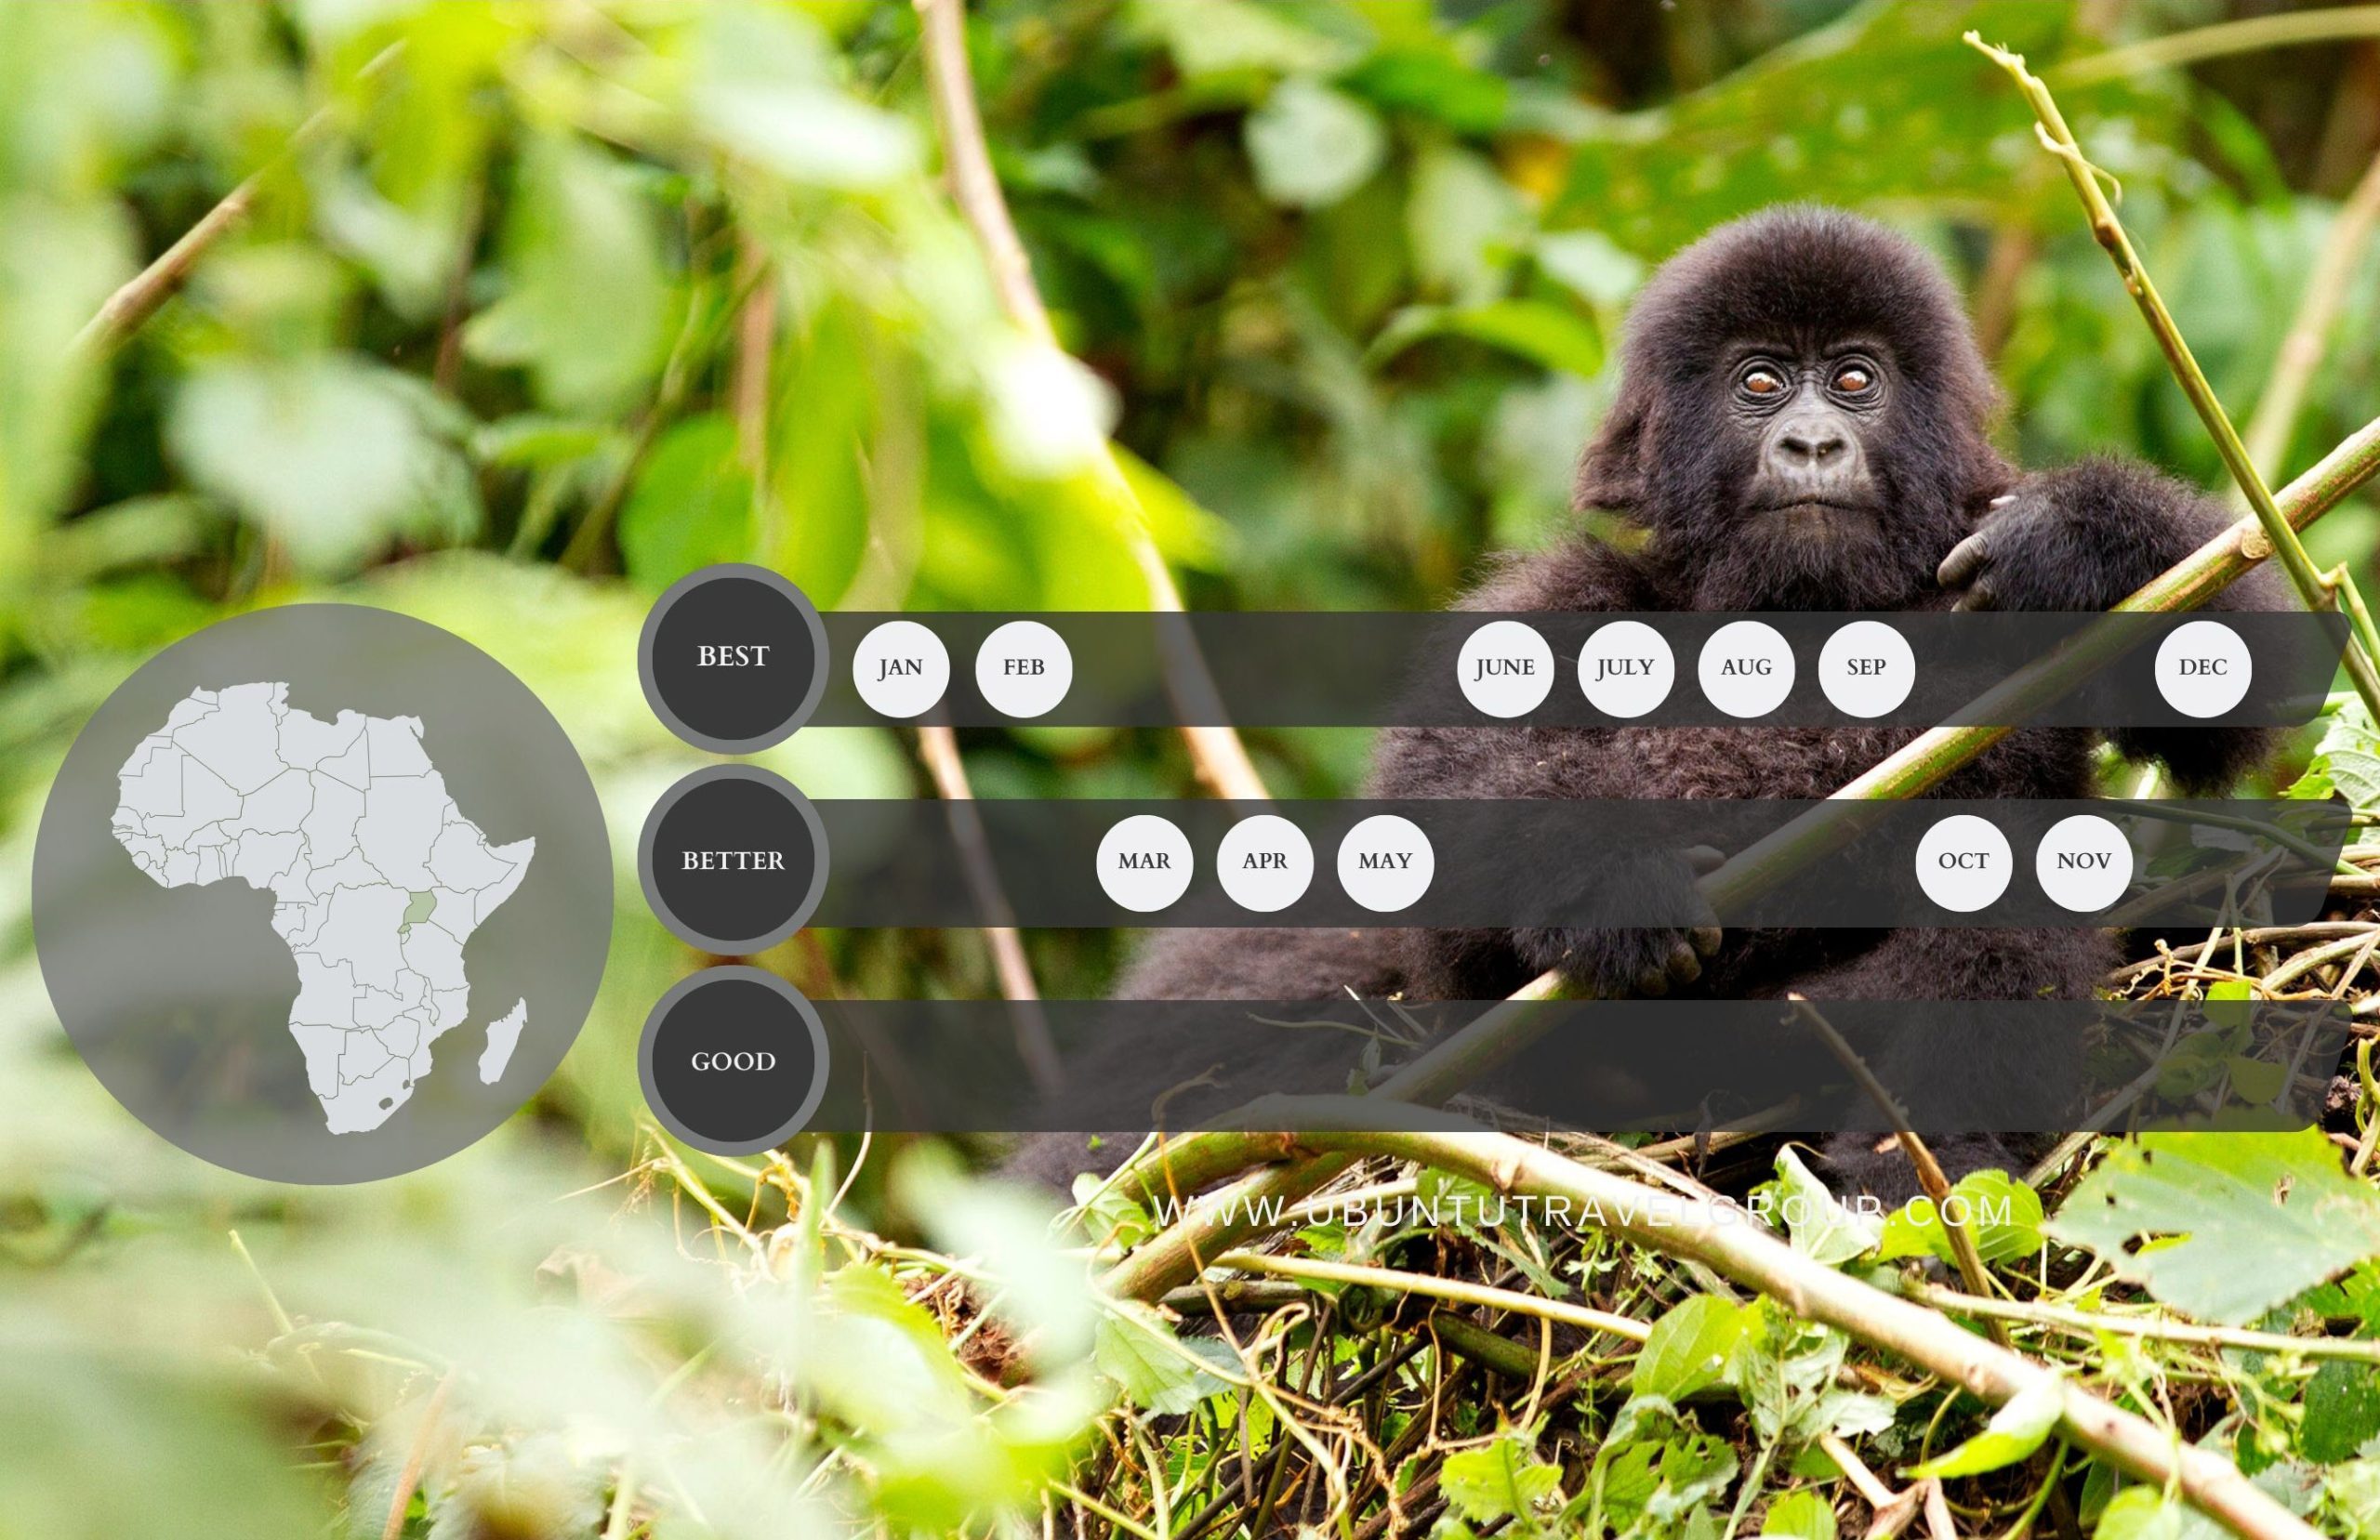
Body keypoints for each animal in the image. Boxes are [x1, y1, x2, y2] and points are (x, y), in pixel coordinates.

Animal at [1006, 205, 2283, 1202]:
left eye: (1854, 380)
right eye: (1759, 382)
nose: (1809, 440)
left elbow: (2229, 673)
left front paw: (2082, 542)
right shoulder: (1566, 595)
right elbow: (1431, 800)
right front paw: (1597, 873)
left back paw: (1920, 1163)